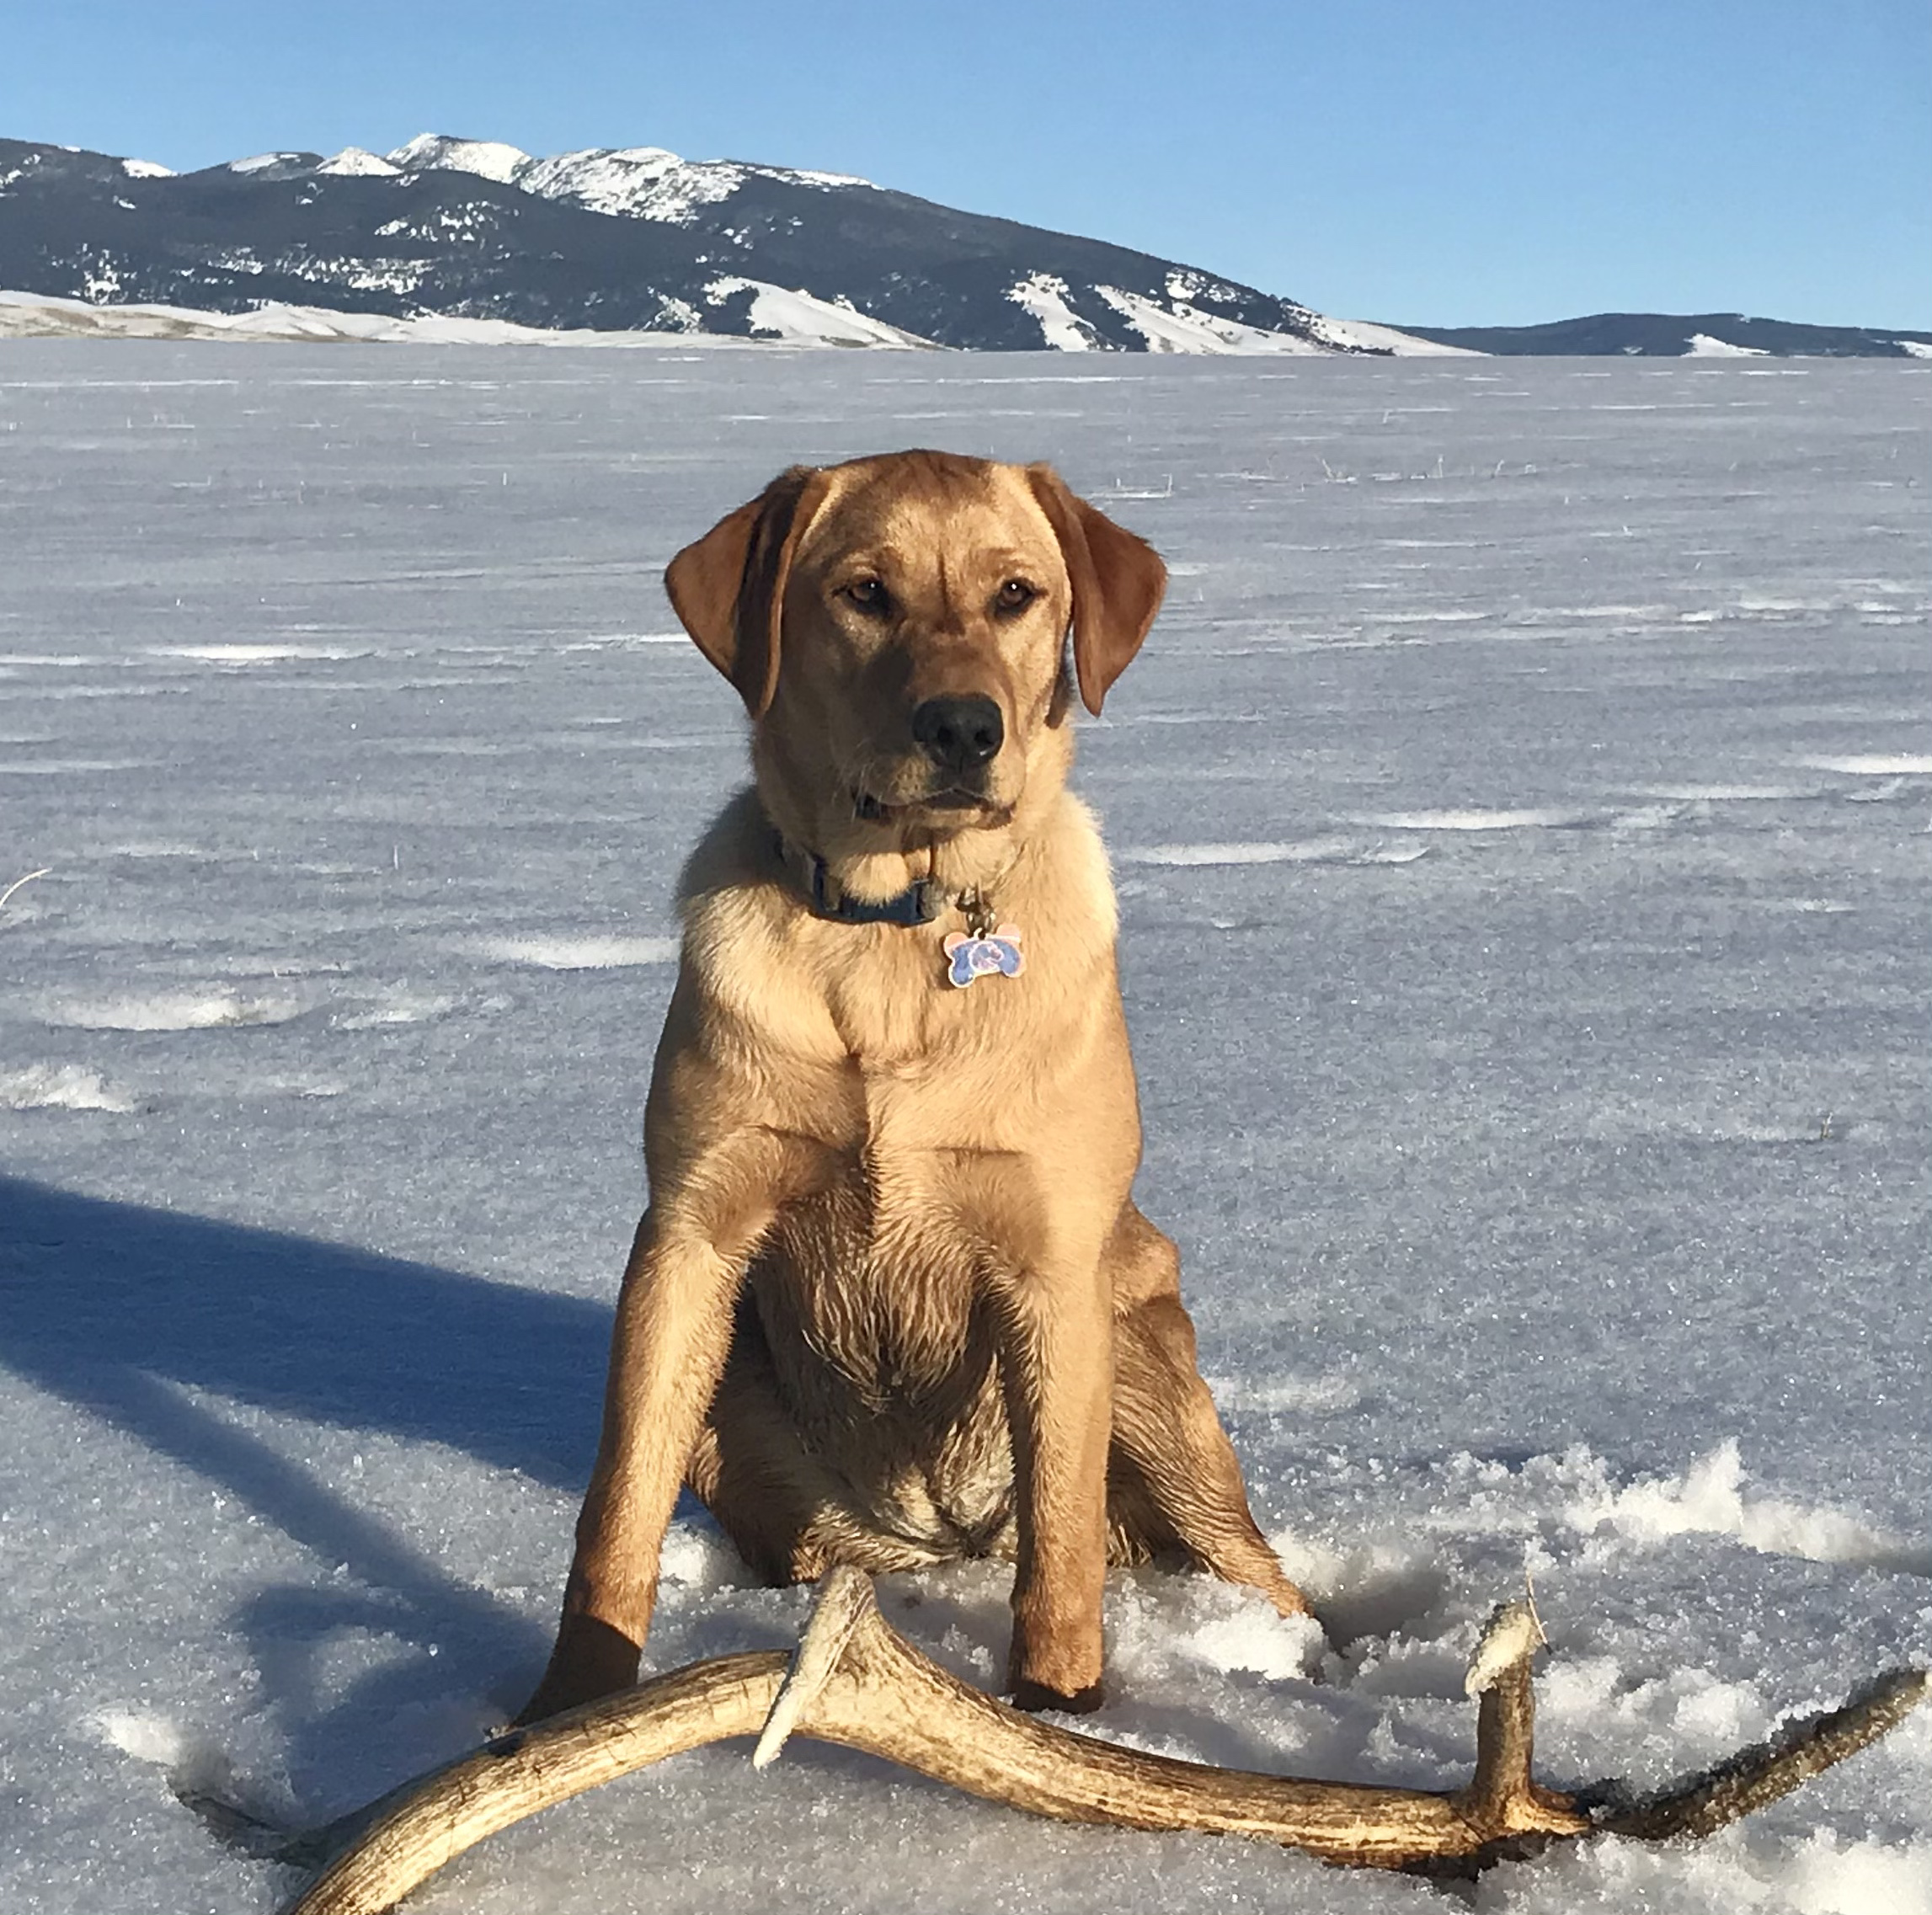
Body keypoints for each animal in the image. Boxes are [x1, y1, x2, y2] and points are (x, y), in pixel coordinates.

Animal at [521, 448, 1313, 1723]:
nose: (961, 725)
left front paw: (1055, 1710)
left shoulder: (1051, 1265)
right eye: (863, 593)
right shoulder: (688, 1236)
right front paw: (570, 1710)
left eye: (1015, 594)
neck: (895, 927)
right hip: (744, 1405)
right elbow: (615, 1511)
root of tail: (938, 1541)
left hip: (1148, 1361)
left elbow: (1060, 1551)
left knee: (1238, 1563)